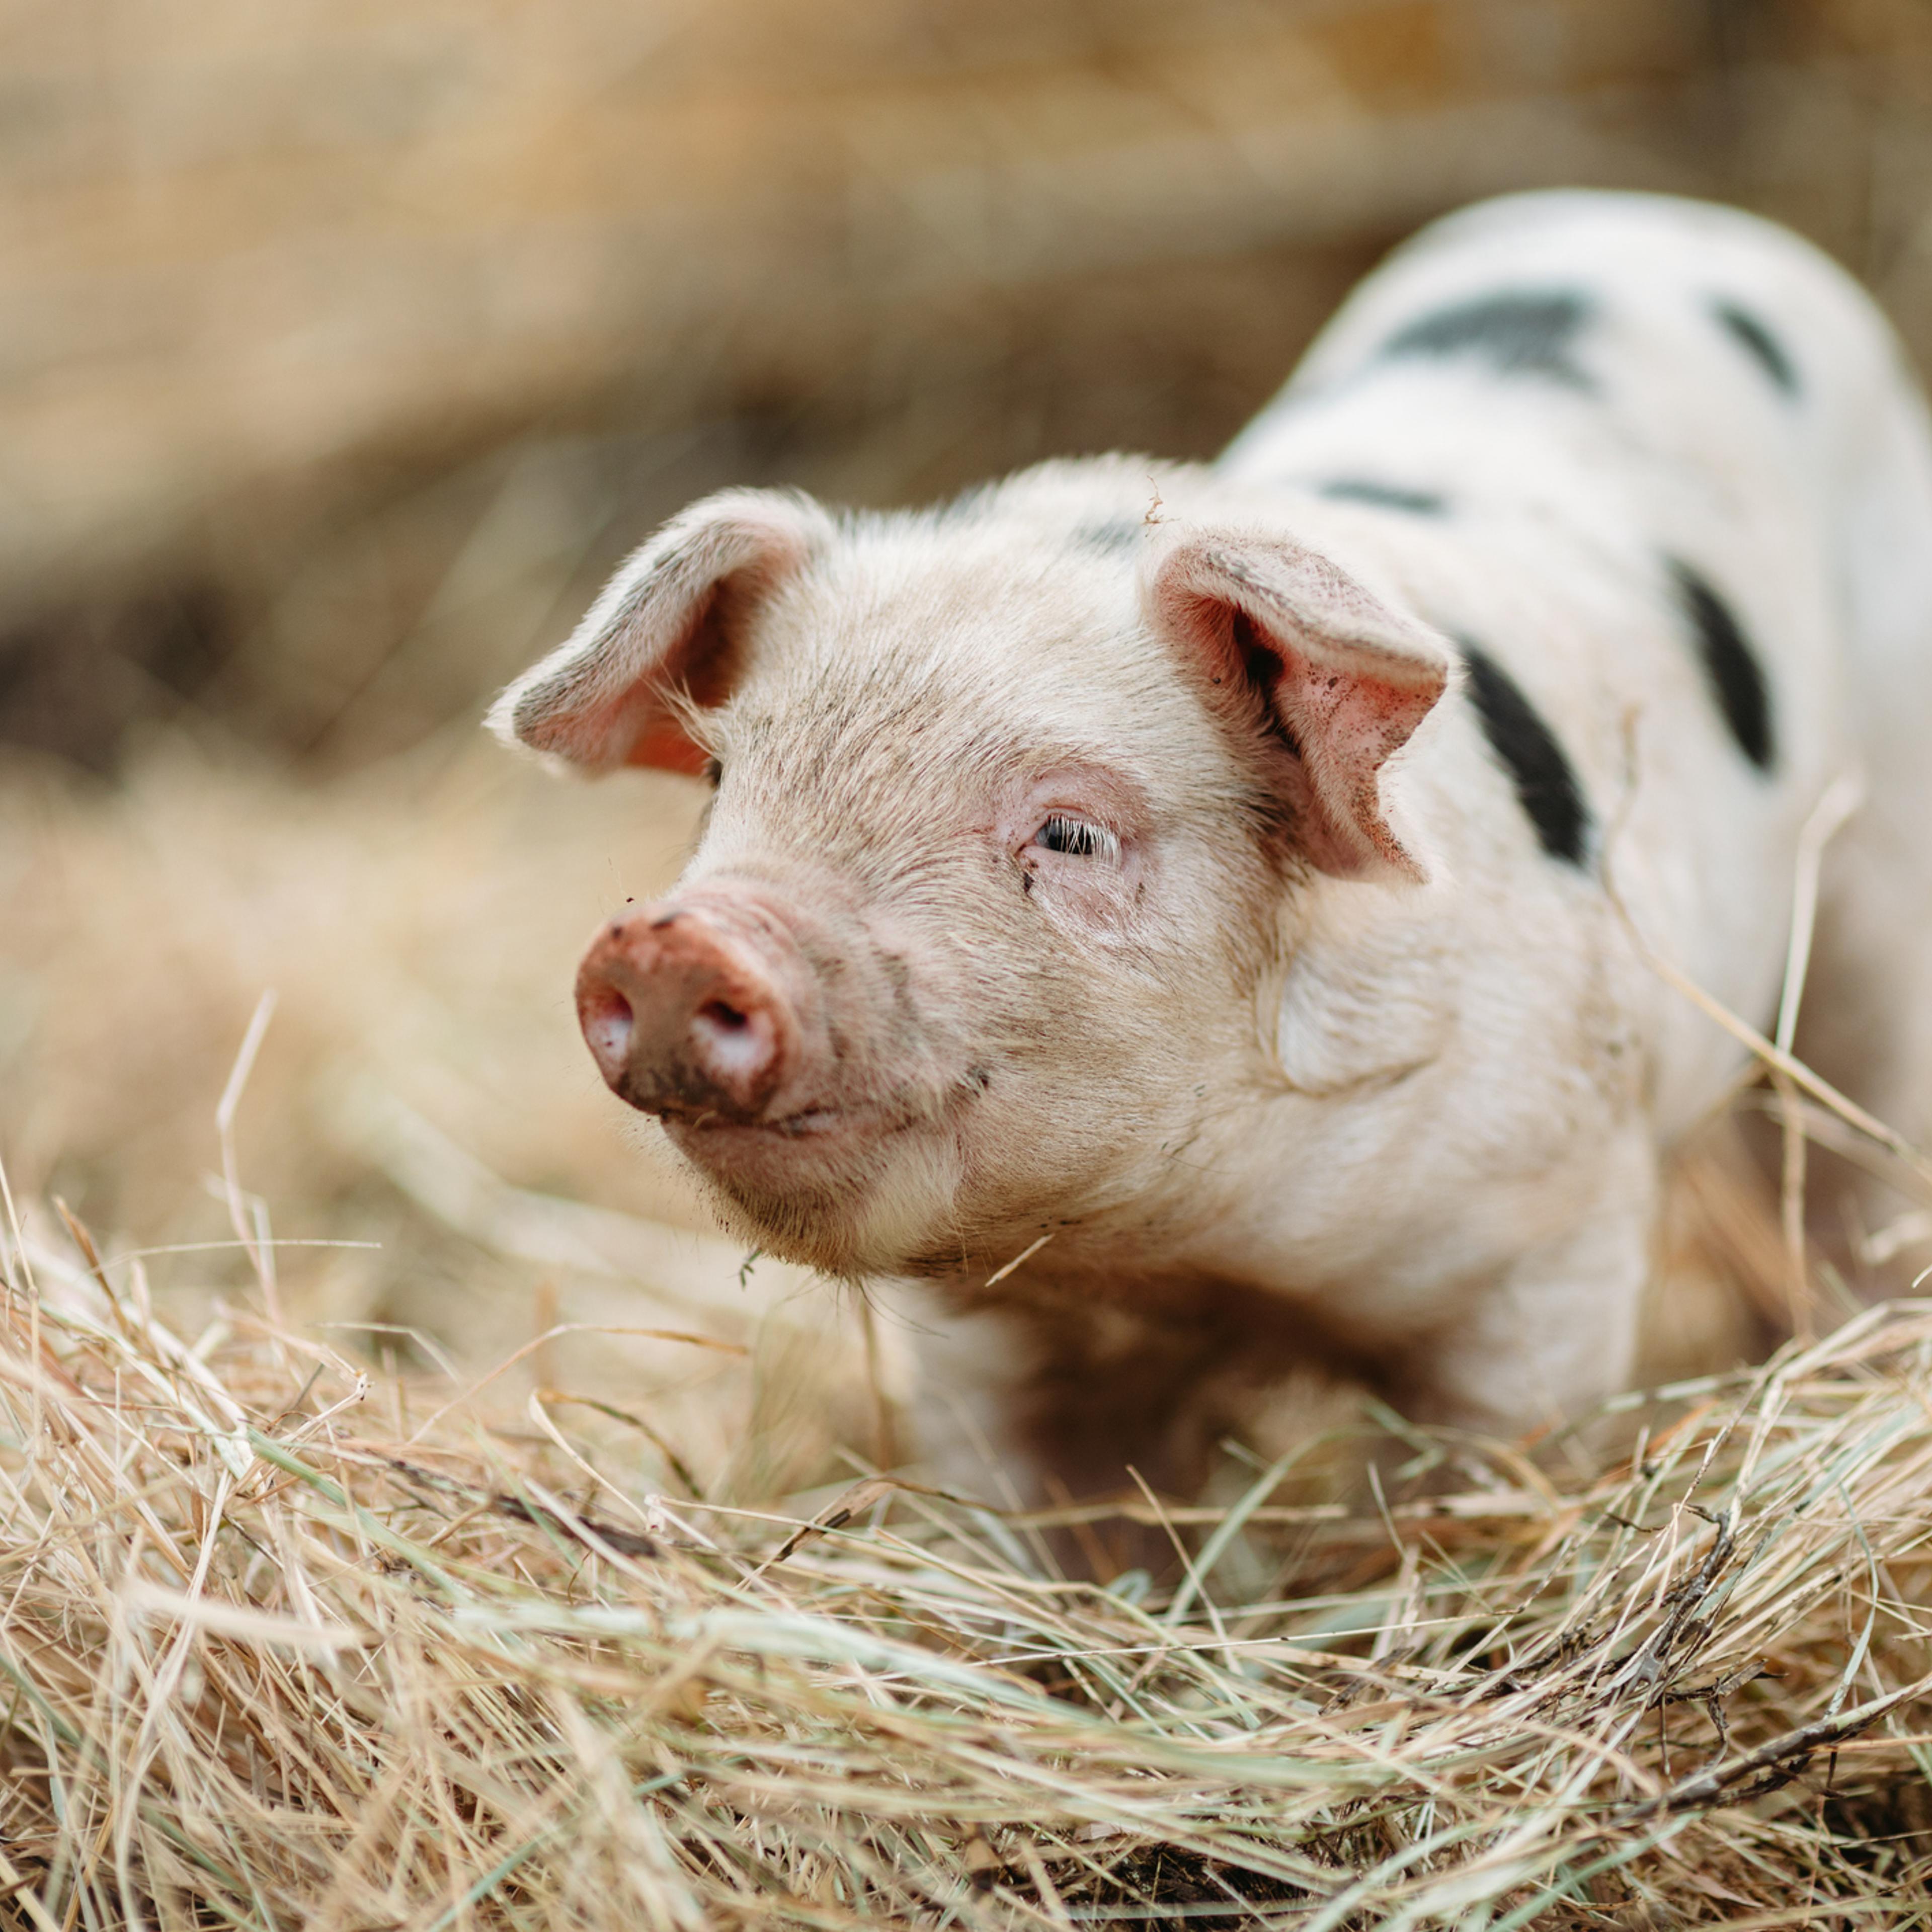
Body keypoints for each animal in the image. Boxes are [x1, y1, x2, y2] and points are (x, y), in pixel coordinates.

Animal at [489, 190, 1932, 1504]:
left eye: (1071, 830)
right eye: (724, 775)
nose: (675, 941)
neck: (1187, 1258)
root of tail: (1660, 217)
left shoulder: (1547, 1245)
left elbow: (1482, 1475)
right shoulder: (983, 1340)